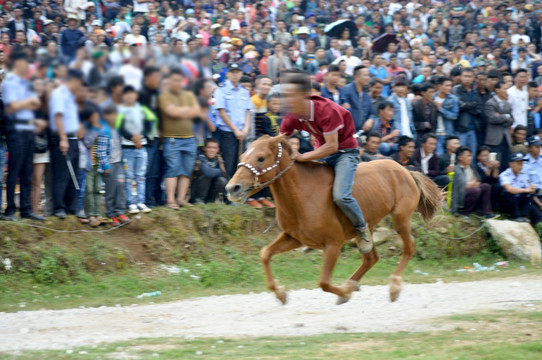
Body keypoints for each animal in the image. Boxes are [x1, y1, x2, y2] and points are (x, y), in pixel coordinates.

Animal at [227, 134, 444, 304]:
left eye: (261, 158)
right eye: (243, 156)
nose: (232, 188)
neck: (303, 195)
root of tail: (405, 170)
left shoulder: (333, 244)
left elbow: (323, 282)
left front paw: (344, 293)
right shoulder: (293, 237)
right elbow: (265, 254)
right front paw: (280, 293)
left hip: (400, 217)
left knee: (409, 247)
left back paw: (394, 287)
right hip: (365, 227)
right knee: (371, 257)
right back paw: (352, 282)